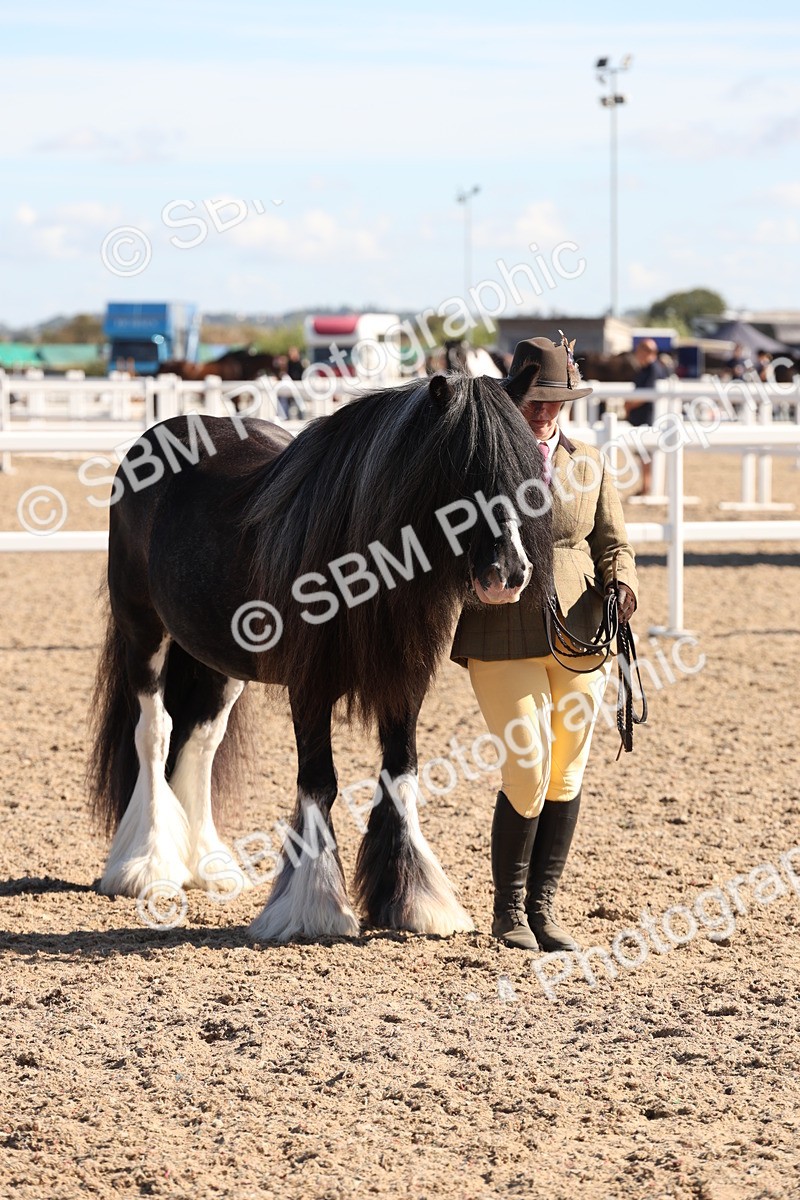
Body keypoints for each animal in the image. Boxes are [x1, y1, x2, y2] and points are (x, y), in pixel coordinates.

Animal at [87, 373, 553, 943]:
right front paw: (314, 907)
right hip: (144, 633)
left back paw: (205, 865)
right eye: (462, 469)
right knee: (155, 733)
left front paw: (414, 901)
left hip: (219, 663)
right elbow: (318, 781)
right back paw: (148, 866)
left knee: (200, 741)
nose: (510, 573)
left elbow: (401, 771)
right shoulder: (309, 689)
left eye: (526, 468)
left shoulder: (405, 685)